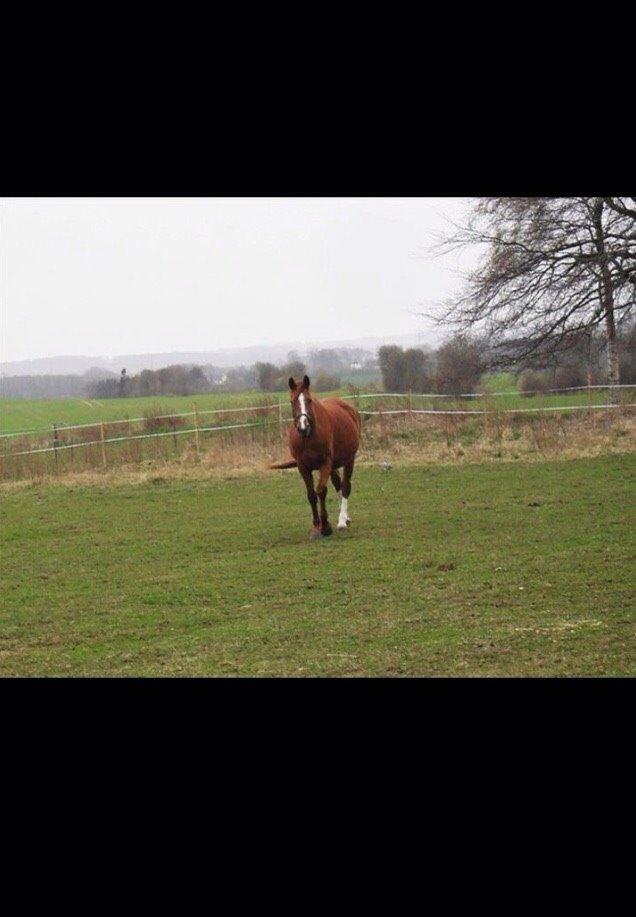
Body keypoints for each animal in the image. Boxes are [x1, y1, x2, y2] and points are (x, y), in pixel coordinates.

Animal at [268, 374, 360, 536]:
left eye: (309, 400)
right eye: (292, 401)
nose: (303, 427)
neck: (308, 438)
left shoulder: (325, 464)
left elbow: (321, 491)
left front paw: (325, 526)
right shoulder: (303, 467)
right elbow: (311, 494)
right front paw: (316, 524)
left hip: (349, 460)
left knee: (345, 487)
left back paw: (342, 520)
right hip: (333, 465)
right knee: (338, 484)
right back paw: (345, 518)